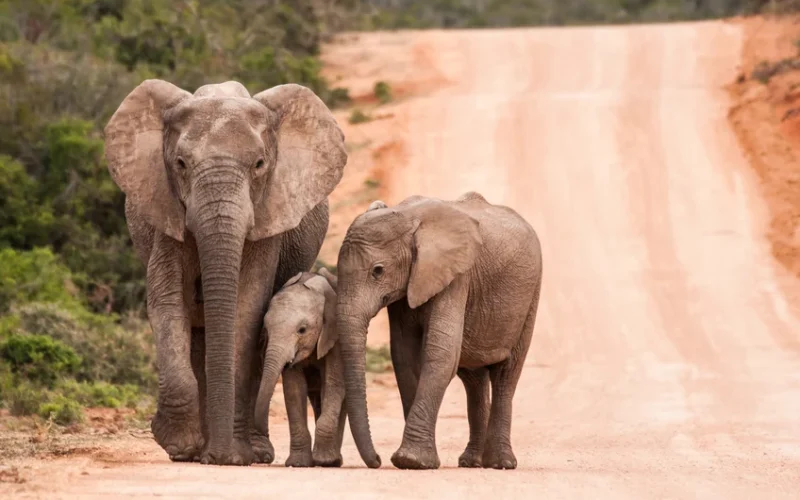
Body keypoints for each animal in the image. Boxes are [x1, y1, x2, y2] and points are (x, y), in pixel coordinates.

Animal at [254, 268, 346, 468]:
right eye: (266, 330)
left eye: (302, 330)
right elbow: (294, 389)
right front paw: (297, 464)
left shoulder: (336, 338)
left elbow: (333, 384)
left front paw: (325, 461)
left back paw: (334, 460)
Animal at [335, 193, 542, 470]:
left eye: (377, 271)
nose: (377, 460)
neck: (408, 217)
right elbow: (404, 356)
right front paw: (414, 460)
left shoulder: (457, 277)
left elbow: (441, 353)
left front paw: (411, 461)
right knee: (474, 379)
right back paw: (471, 462)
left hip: (530, 298)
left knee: (506, 375)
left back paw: (501, 464)